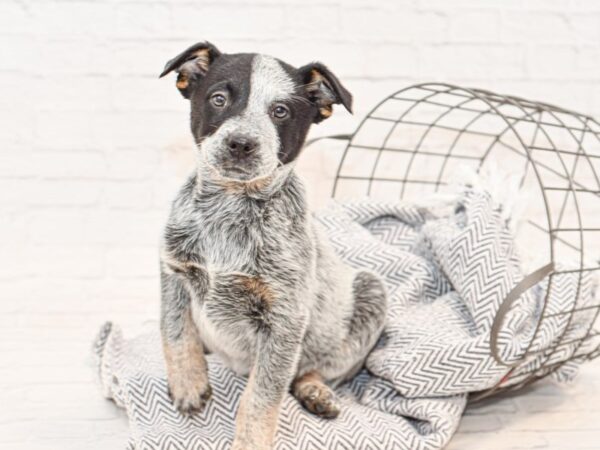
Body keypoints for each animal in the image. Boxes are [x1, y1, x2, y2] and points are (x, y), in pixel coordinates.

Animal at [157, 42, 386, 450]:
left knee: (316, 369)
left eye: (280, 111)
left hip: (370, 292)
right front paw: (188, 384)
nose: (240, 143)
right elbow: (175, 330)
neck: (229, 210)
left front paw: (250, 440)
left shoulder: (284, 320)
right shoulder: (174, 270)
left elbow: (261, 398)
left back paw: (315, 391)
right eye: (218, 99)